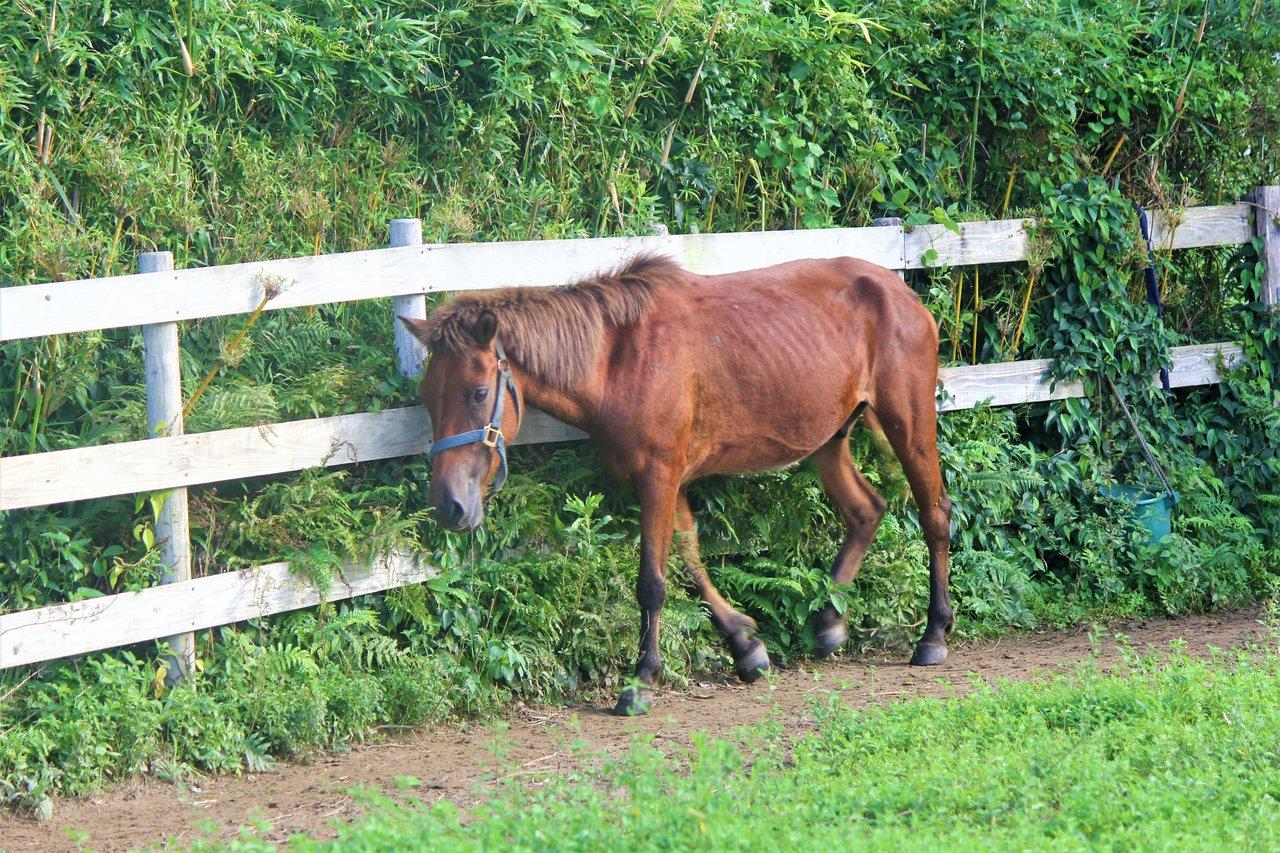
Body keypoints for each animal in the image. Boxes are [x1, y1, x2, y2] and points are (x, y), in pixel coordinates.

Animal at [399, 251, 952, 712]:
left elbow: (653, 583)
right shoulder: (667, 482)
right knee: (866, 511)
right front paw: (746, 647)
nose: (447, 505)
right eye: (427, 396)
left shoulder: (659, 478)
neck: (618, 358)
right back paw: (830, 623)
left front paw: (641, 681)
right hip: (830, 439)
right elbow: (690, 564)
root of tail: (900, 290)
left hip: (909, 423)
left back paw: (933, 635)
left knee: (935, 515)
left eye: (477, 393)